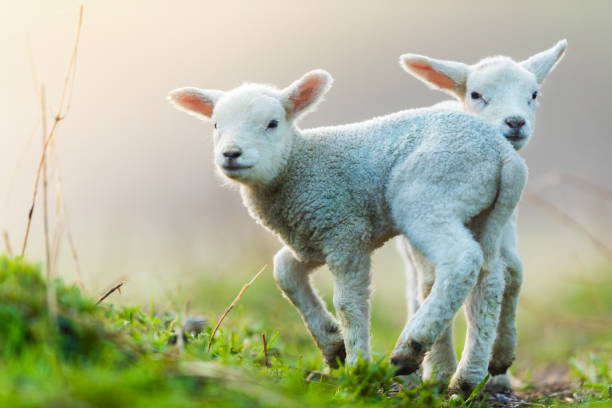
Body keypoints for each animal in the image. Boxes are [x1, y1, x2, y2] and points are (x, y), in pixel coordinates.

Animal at [166, 69, 524, 396]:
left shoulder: (344, 230)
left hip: (431, 194)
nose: (231, 154)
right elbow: (284, 271)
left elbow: (348, 304)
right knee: (490, 280)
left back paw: (411, 348)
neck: (298, 165)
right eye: (216, 125)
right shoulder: (310, 236)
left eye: (272, 124)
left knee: (462, 260)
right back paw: (470, 377)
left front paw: (357, 370)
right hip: (483, 213)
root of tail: (503, 154)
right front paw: (332, 345)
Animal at [400, 39, 568, 392]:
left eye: (534, 94)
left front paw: (497, 361)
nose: (515, 122)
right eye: (476, 94)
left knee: (494, 276)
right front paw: (441, 367)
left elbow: (512, 276)